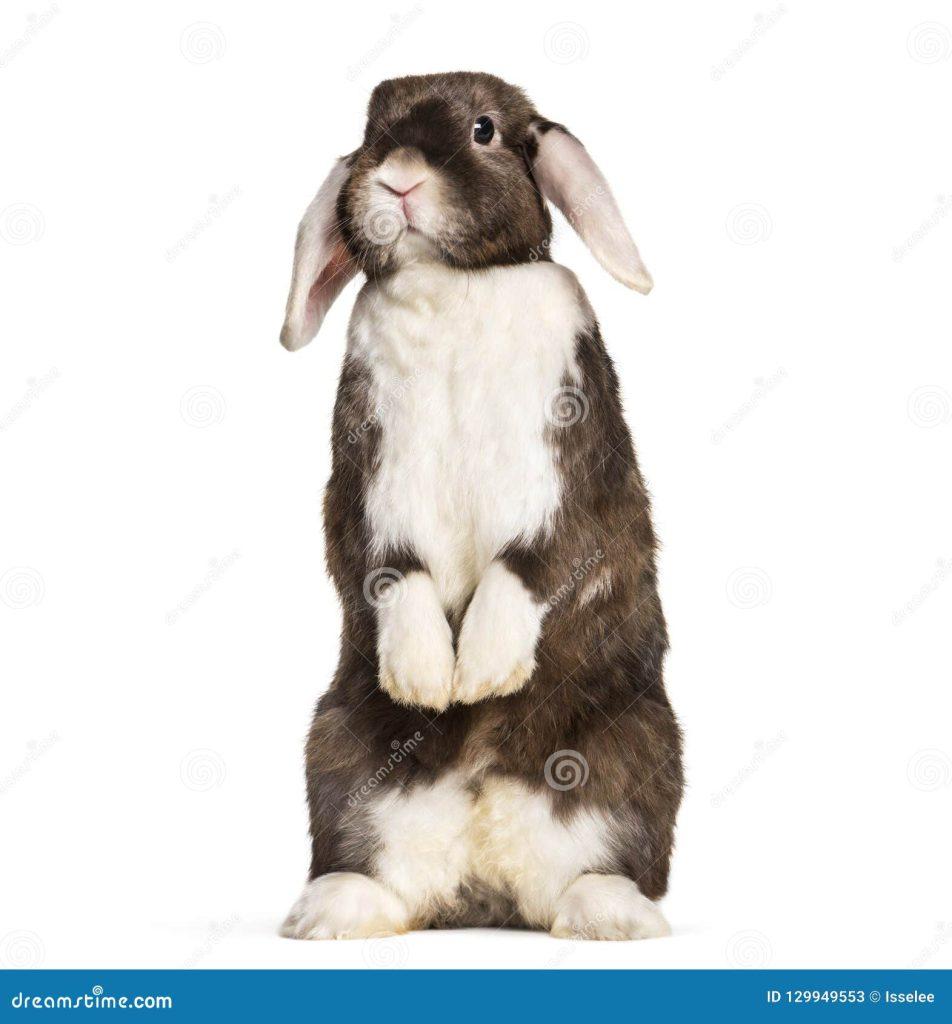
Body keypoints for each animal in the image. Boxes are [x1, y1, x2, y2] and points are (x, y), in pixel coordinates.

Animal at [279, 72, 683, 941]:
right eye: (371, 132)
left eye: (485, 130)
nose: (397, 177)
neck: (453, 282)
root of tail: (484, 880)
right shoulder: (367, 488)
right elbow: (390, 571)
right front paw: (429, 681)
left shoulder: (572, 478)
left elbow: (534, 564)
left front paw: (484, 673)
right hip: (336, 752)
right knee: (375, 867)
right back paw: (329, 912)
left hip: (639, 748)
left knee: (601, 868)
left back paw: (616, 916)